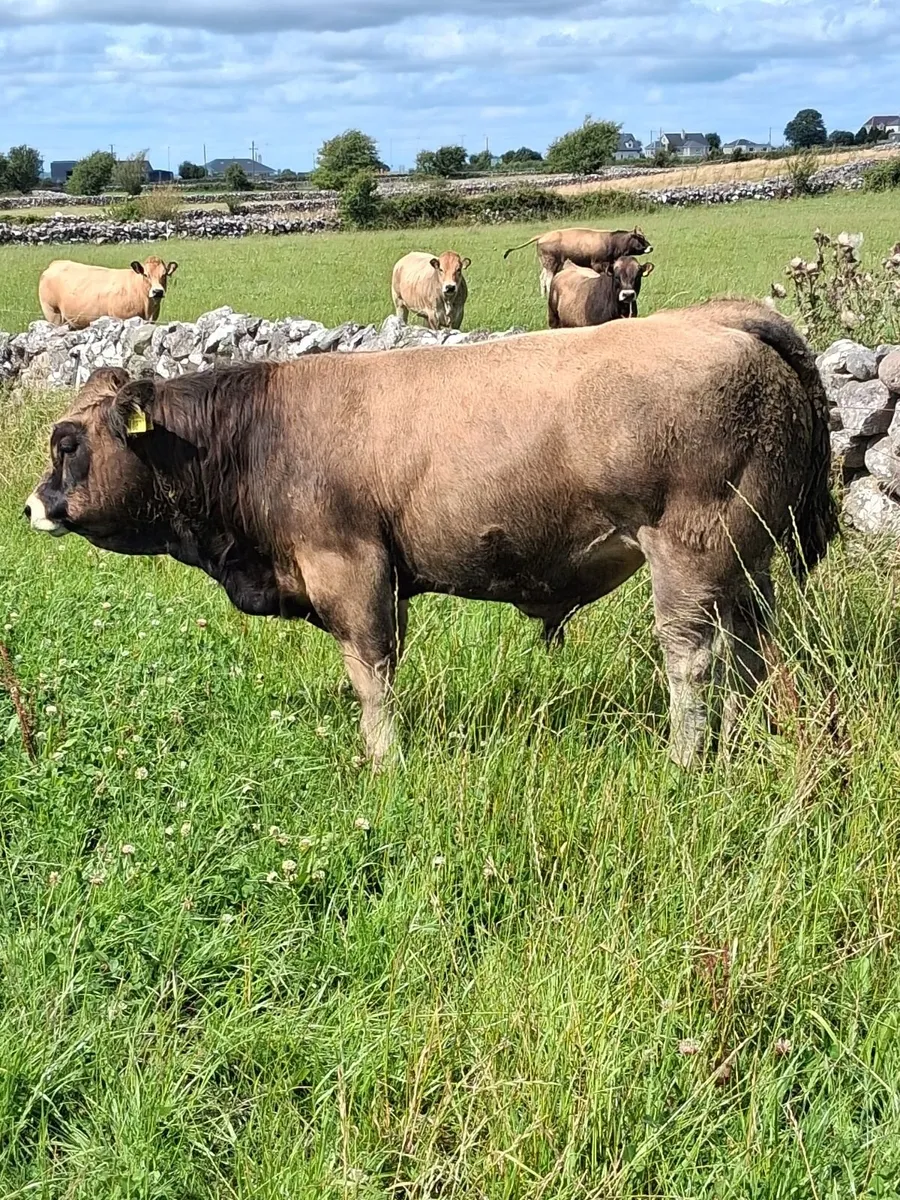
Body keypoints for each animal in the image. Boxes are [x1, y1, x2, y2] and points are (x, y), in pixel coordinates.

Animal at [25, 299, 837, 770]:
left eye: (67, 441)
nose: (33, 507)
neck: (255, 436)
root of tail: (716, 318)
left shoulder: (350, 569)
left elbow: (371, 677)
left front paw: (383, 763)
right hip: (745, 558)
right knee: (749, 653)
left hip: (690, 552)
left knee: (692, 660)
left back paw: (686, 761)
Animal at [503, 226, 653, 295]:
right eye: (640, 238)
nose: (651, 247)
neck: (611, 242)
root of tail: (543, 235)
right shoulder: (597, 264)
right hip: (551, 264)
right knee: (548, 280)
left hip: (547, 265)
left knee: (542, 278)